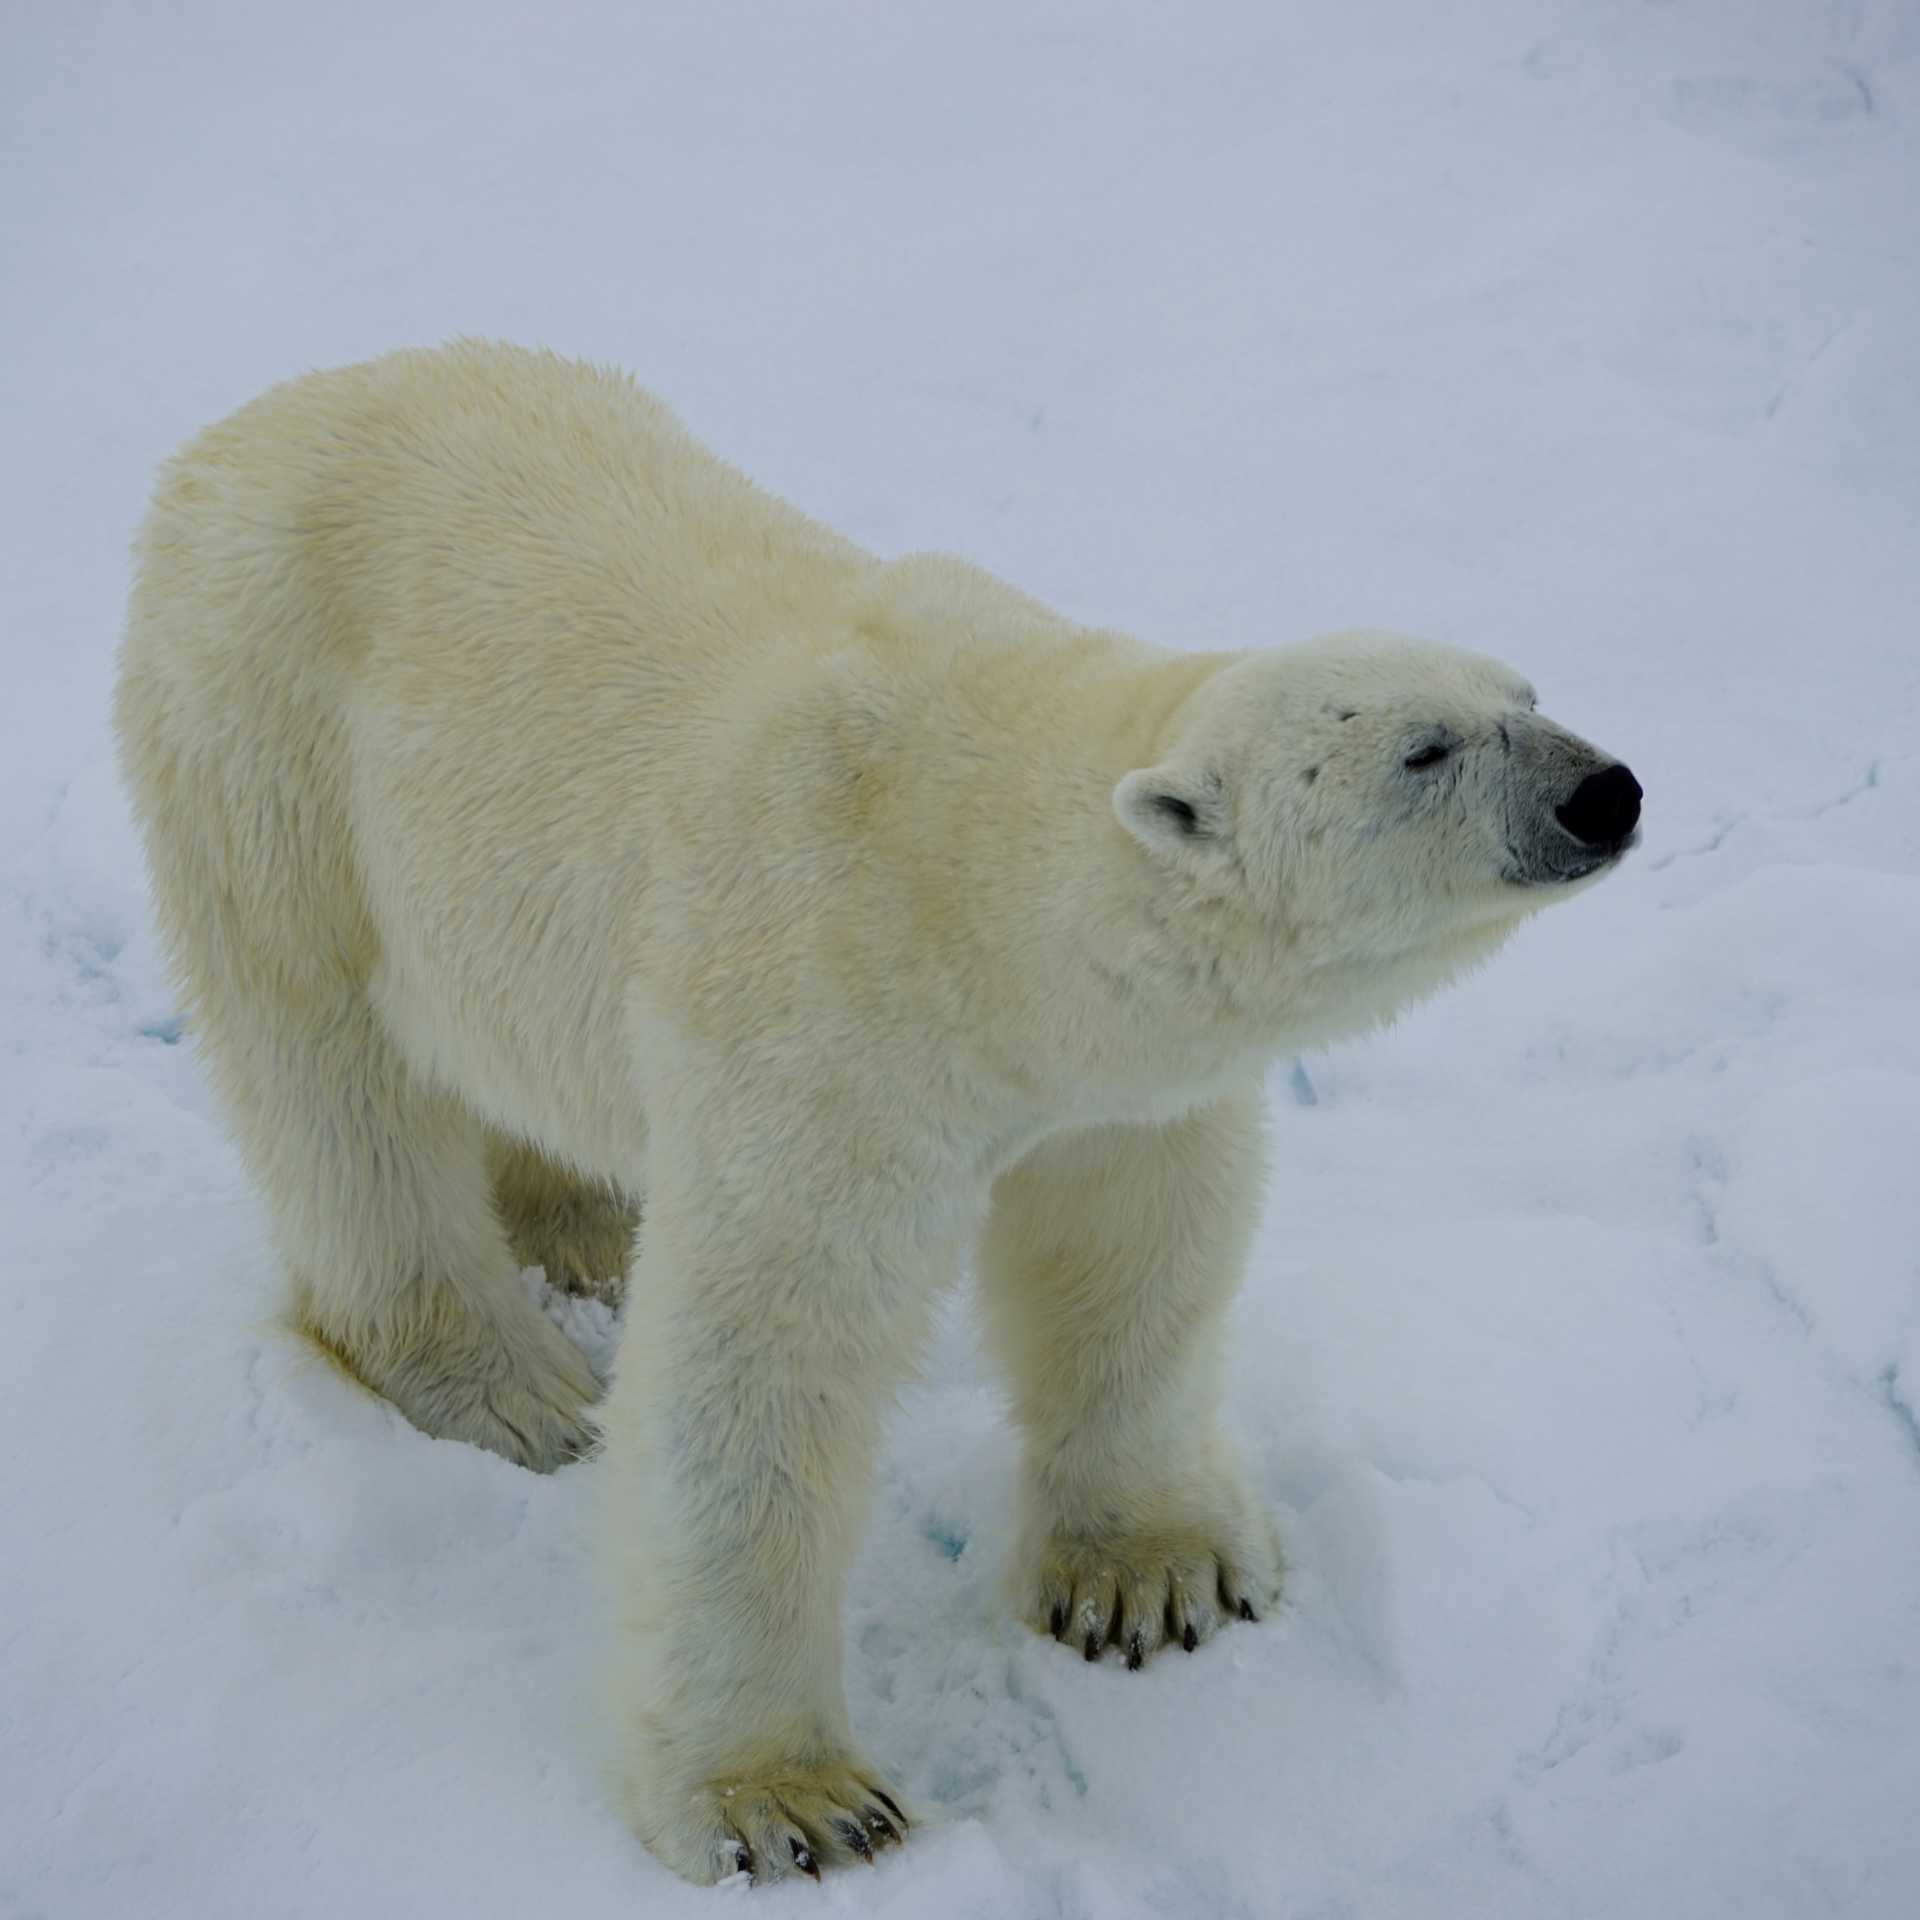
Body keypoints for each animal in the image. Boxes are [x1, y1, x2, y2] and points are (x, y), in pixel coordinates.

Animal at [114, 341, 1640, 1885]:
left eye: (1528, 690)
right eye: (1426, 750)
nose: (1606, 790)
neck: (975, 866)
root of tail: (252, 423)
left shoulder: (1103, 1089)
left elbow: (1139, 1254)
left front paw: (1154, 1581)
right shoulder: (827, 1023)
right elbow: (760, 1362)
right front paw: (790, 1803)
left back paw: (591, 1229)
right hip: (266, 745)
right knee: (333, 1077)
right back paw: (510, 1384)